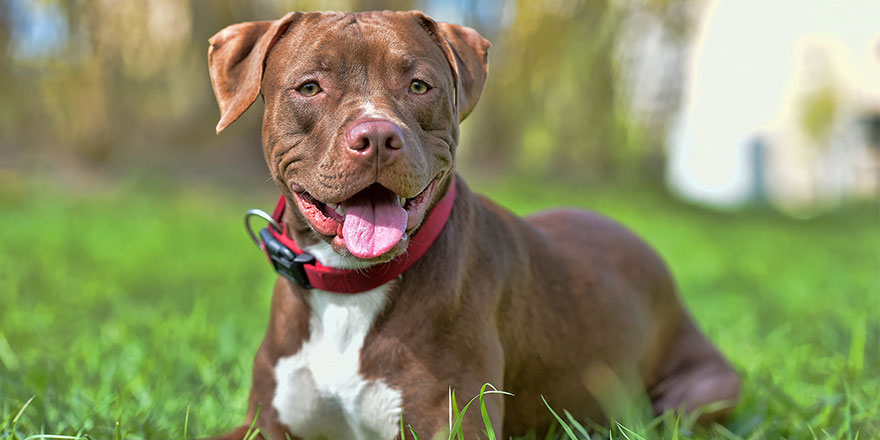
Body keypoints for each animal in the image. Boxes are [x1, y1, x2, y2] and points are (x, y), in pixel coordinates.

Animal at [203, 9, 740, 440]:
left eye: (419, 85)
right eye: (310, 87)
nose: (376, 136)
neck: (350, 289)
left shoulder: (454, 424)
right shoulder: (263, 425)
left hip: (702, 390)